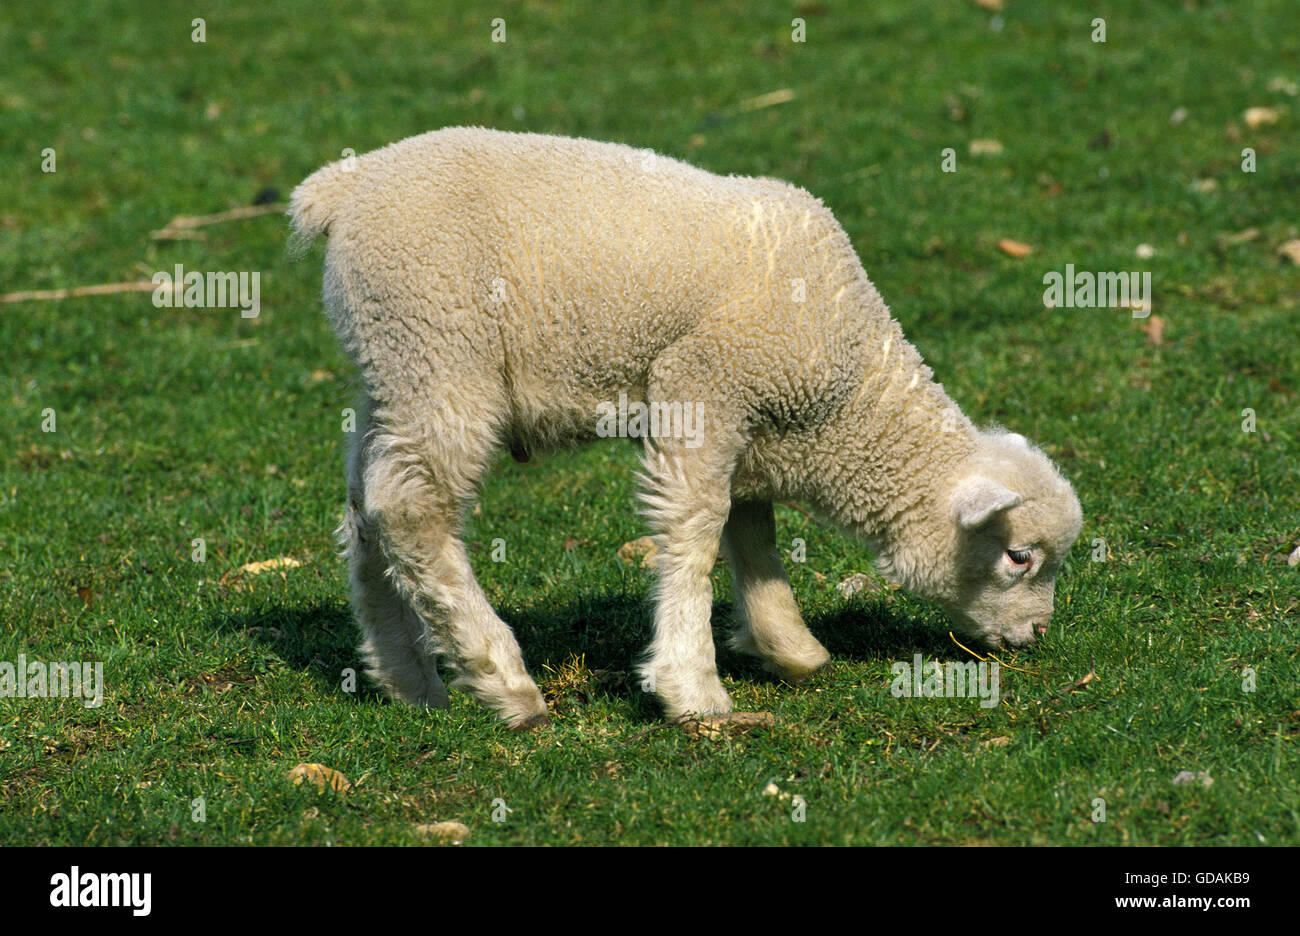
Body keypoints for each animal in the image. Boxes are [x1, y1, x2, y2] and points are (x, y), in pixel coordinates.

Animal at [289, 130, 1081, 733]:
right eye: (1018, 557)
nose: (1039, 635)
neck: (847, 398)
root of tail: (344, 187)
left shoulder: (751, 426)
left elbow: (750, 531)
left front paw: (787, 645)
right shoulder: (702, 385)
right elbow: (695, 529)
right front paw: (692, 688)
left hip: (389, 370)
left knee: (366, 507)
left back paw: (407, 677)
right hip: (441, 353)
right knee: (412, 511)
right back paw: (503, 679)